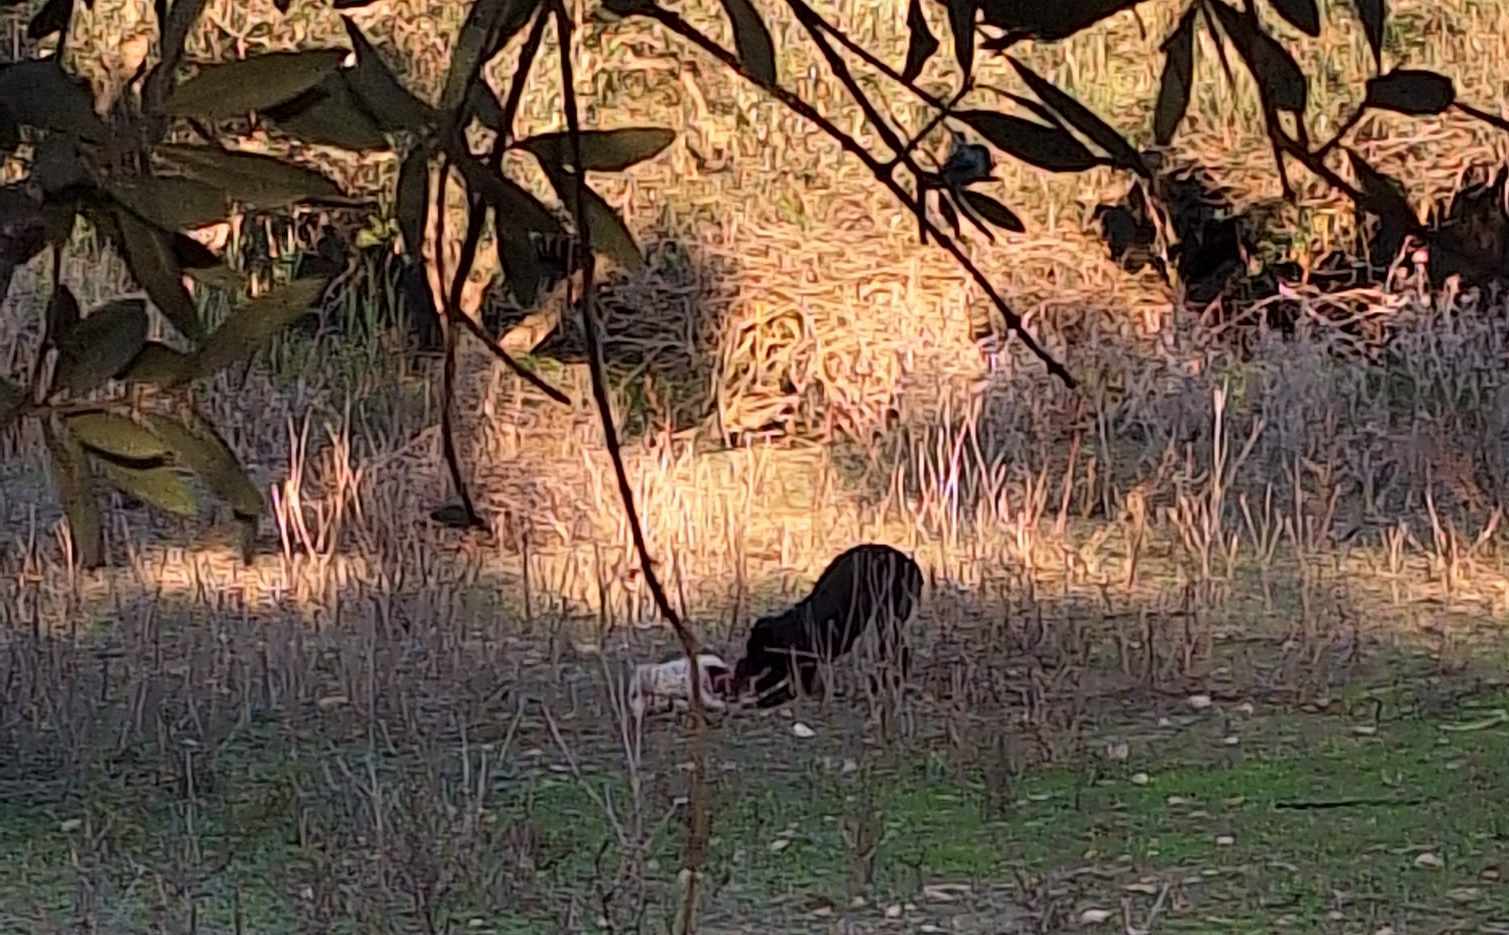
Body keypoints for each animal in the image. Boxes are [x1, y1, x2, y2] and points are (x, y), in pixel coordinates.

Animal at [730, 539, 917, 708]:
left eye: (754, 648)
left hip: (889, 620)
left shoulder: (800, 668)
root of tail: (909, 562)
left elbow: (786, 690)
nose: (740, 673)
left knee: (898, 651)